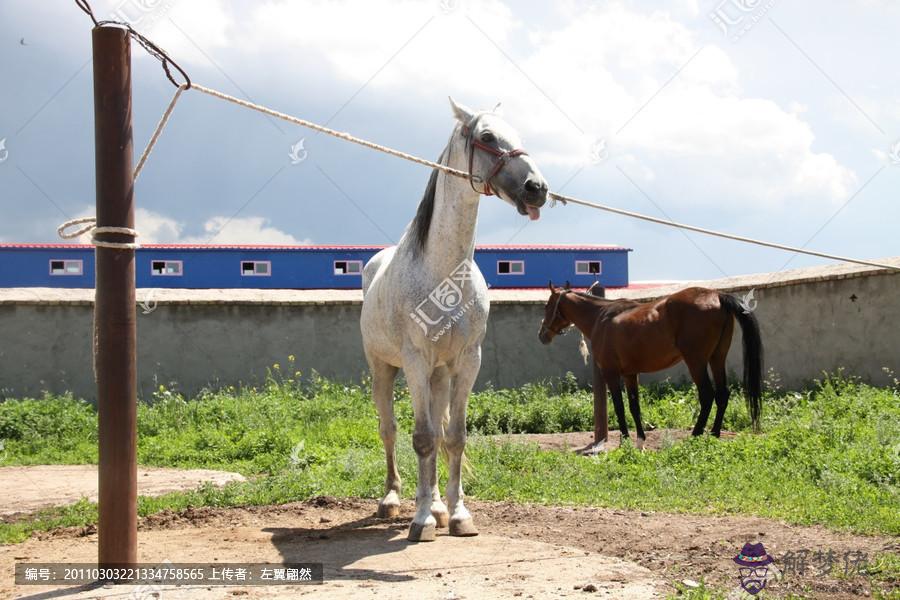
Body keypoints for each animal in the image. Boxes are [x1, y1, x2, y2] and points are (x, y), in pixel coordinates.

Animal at [360, 96, 548, 540]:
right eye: (487, 137)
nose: (537, 189)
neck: (443, 273)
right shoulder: (414, 362)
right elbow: (423, 439)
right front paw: (421, 520)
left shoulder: (467, 361)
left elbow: (454, 438)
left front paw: (458, 514)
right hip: (384, 369)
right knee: (389, 431)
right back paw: (393, 500)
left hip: (440, 375)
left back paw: (438, 505)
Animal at [536, 284, 764, 448]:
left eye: (547, 306)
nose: (542, 335)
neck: (602, 317)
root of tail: (716, 296)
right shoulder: (630, 374)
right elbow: (634, 406)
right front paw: (640, 441)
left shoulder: (611, 373)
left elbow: (619, 407)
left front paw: (625, 440)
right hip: (717, 358)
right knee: (723, 394)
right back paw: (714, 434)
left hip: (696, 361)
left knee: (707, 395)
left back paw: (696, 434)